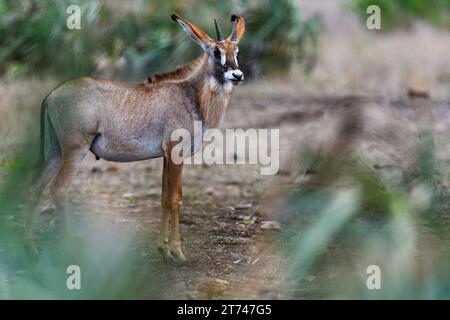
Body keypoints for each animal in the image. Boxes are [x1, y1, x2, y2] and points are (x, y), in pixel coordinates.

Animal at [26, 11, 246, 264]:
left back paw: (29, 247)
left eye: (236, 51)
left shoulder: (166, 156)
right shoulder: (176, 152)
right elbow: (176, 198)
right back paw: (68, 249)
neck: (191, 95)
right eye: (216, 51)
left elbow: (164, 198)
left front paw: (164, 250)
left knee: (35, 187)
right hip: (75, 150)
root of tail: (52, 95)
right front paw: (178, 253)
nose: (237, 74)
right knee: (58, 189)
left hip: (55, 151)